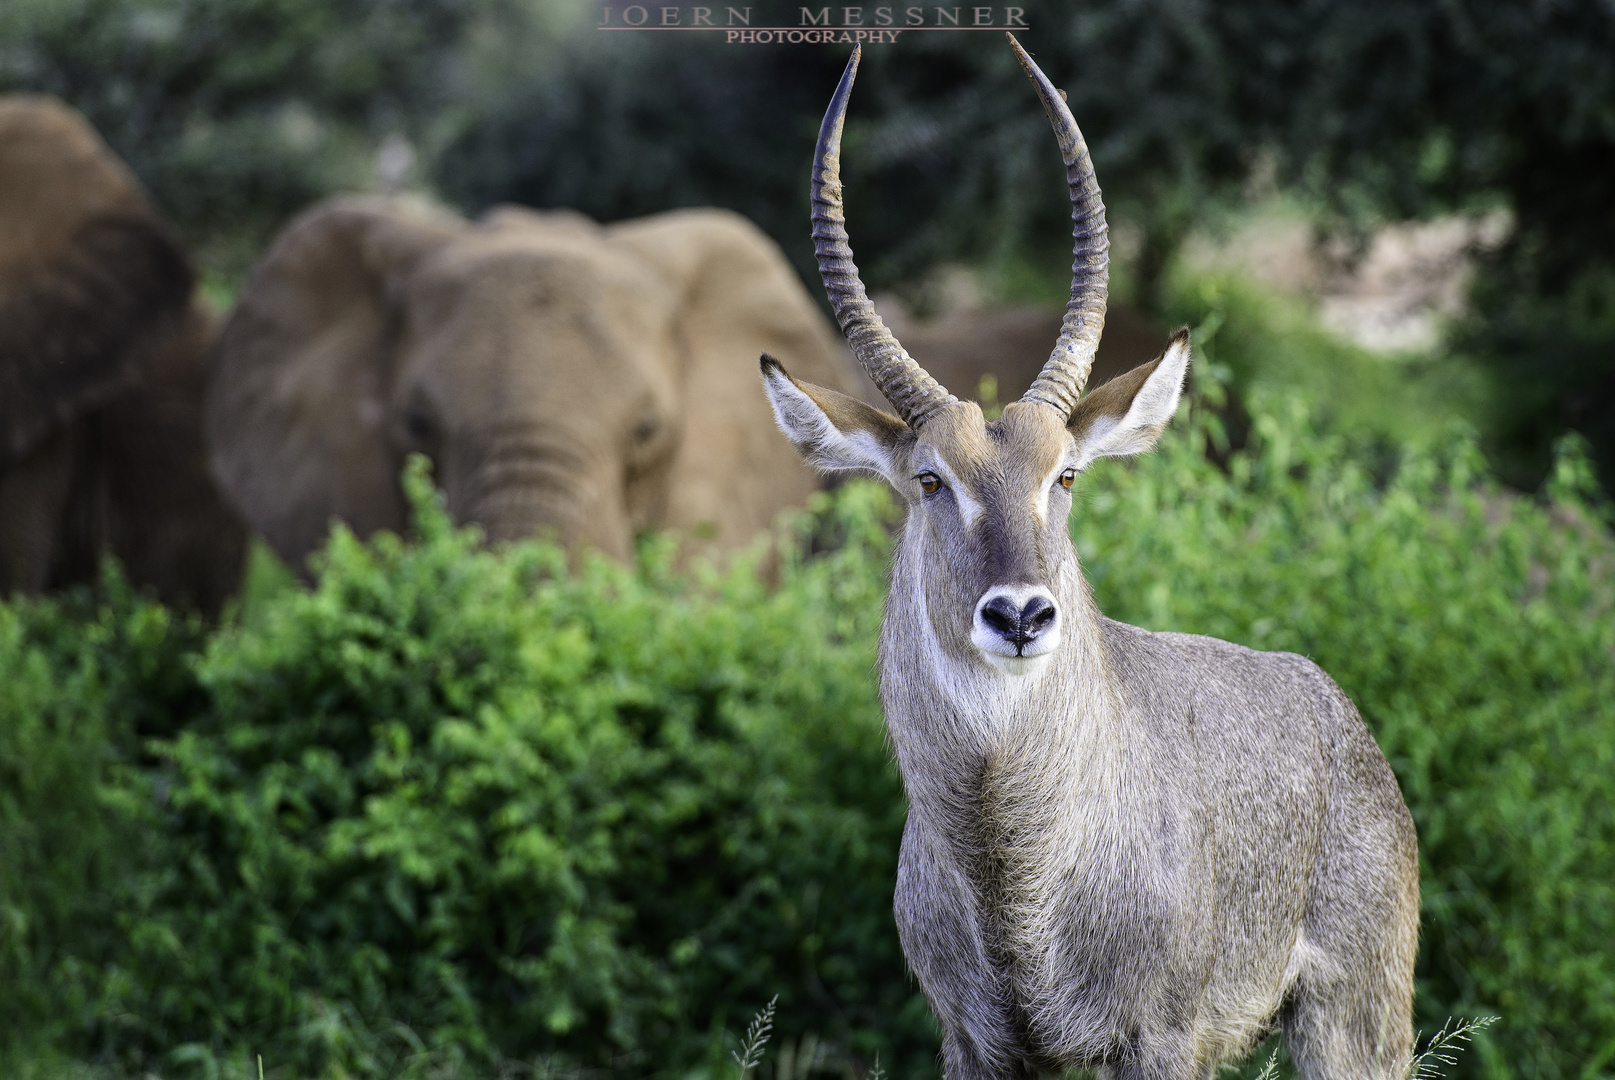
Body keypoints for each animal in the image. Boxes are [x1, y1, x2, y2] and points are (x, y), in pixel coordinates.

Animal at [755, 35, 1414, 1078]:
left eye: (1063, 474)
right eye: (929, 479)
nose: (1020, 615)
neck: (1013, 866)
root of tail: (1329, 701)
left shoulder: (1160, 1036)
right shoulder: (973, 1043)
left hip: (1353, 1018)